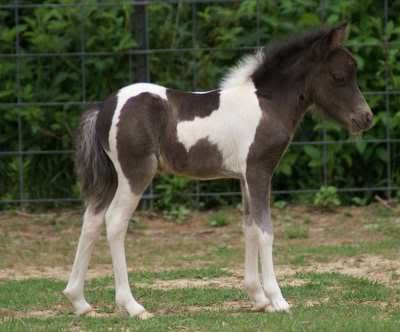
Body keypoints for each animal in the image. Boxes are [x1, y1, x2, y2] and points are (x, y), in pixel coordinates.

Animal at [62, 23, 372, 320]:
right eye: (339, 76)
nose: (366, 118)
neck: (267, 103)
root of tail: (103, 108)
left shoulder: (244, 177)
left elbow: (249, 227)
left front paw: (259, 299)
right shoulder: (259, 171)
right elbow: (266, 231)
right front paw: (278, 299)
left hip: (111, 178)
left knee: (91, 221)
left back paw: (80, 302)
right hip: (135, 174)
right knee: (115, 222)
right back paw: (133, 306)